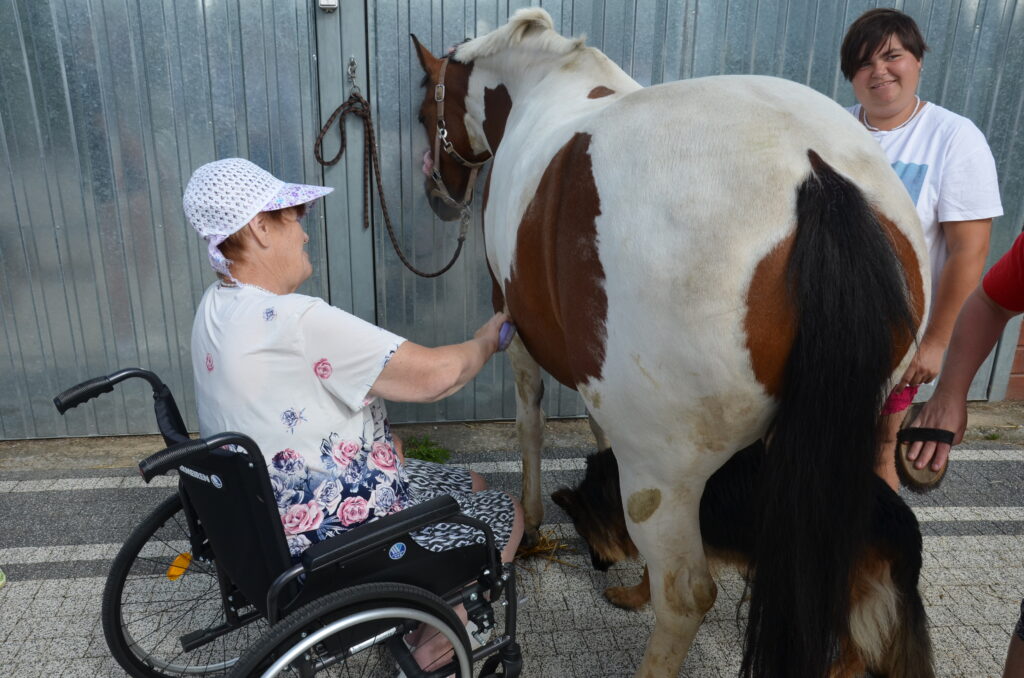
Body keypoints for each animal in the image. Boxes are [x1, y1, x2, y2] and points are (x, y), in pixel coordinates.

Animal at [413, 9, 929, 678]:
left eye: (425, 111)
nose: (439, 198)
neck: (545, 83)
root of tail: (818, 179)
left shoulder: (518, 328)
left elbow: (531, 423)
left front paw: (532, 522)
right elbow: (597, 433)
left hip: (666, 471)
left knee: (686, 595)